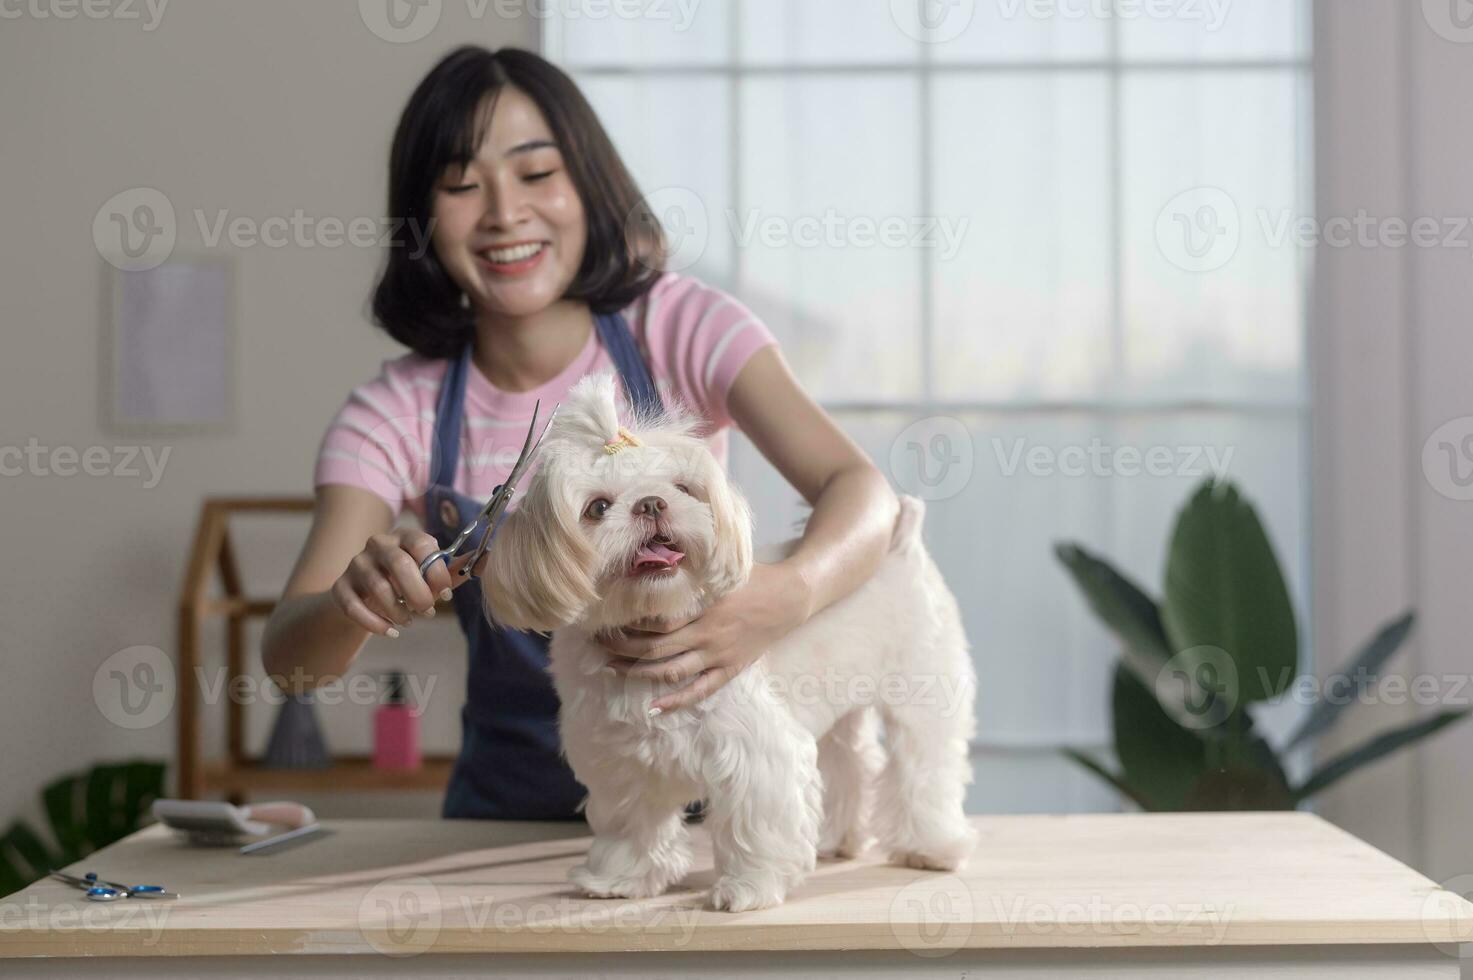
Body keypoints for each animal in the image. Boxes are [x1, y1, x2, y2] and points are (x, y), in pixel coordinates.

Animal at [477, 372, 972, 907]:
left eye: (681, 489)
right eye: (598, 508)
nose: (651, 503)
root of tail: (900, 542)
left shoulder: (757, 753)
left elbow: (754, 825)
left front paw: (747, 888)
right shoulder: (618, 761)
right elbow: (630, 824)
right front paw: (620, 879)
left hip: (923, 694)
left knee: (924, 766)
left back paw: (933, 847)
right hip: (839, 709)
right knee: (852, 761)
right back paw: (838, 839)